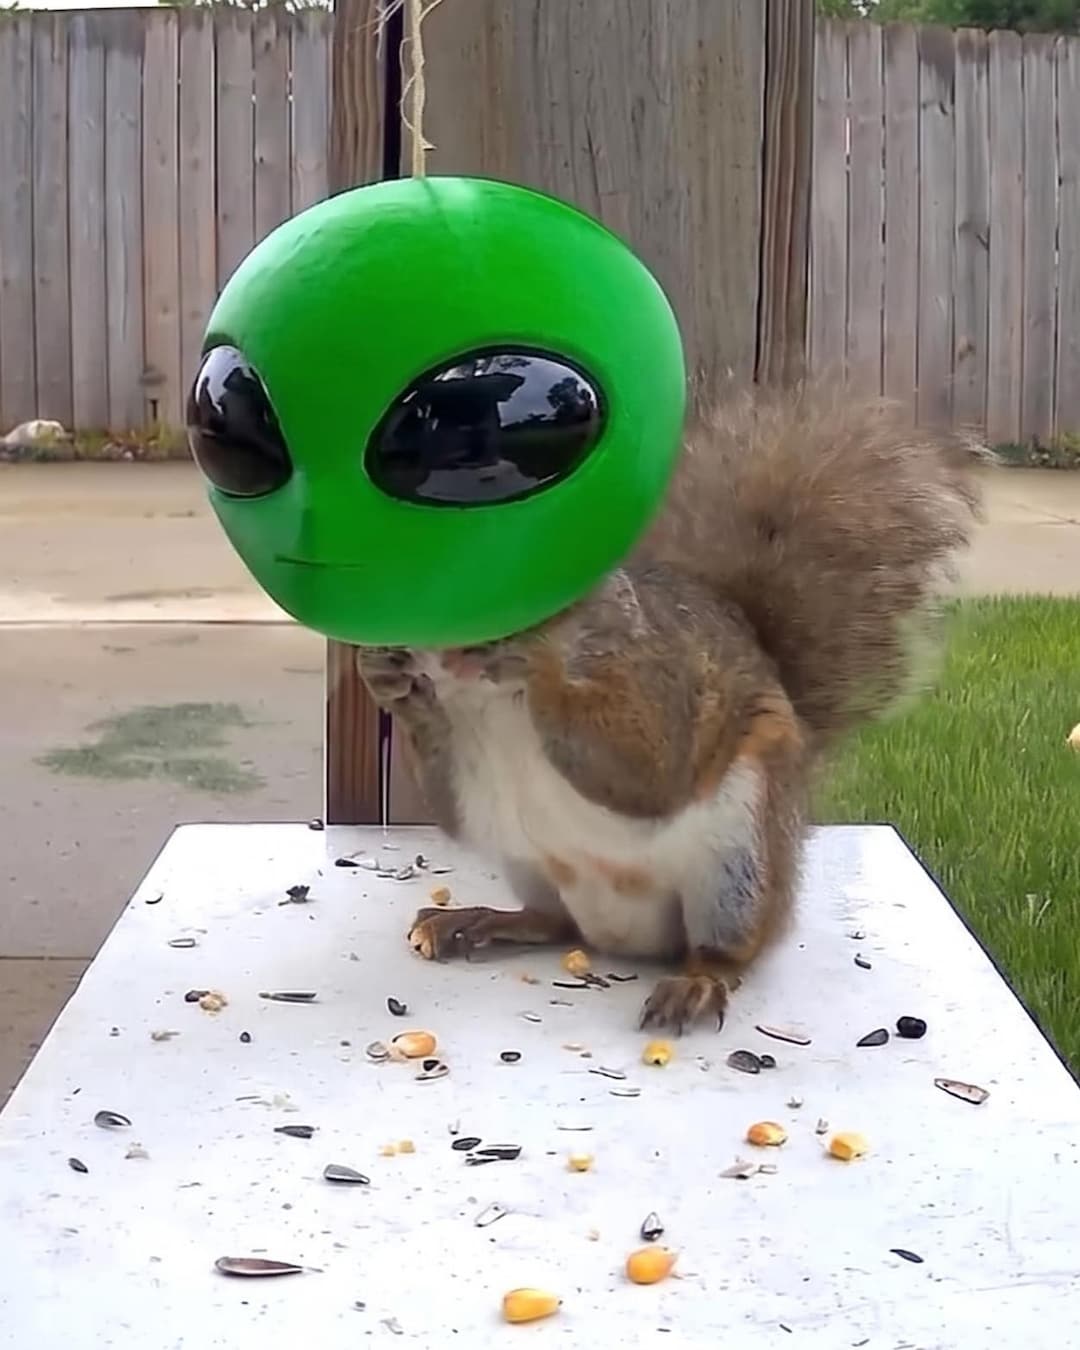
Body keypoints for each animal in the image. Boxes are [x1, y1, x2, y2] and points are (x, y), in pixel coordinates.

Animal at [356, 383, 985, 1033]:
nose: (447, 650)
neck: (494, 697)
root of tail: (623, 939)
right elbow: (447, 803)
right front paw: (385, 676)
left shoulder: (660, 674)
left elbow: (651, 771)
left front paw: (538, 659)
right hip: (526, 857)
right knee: (552, 922)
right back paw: (478, 920)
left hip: (740, 856)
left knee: (727, 949)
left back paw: (697, 982)